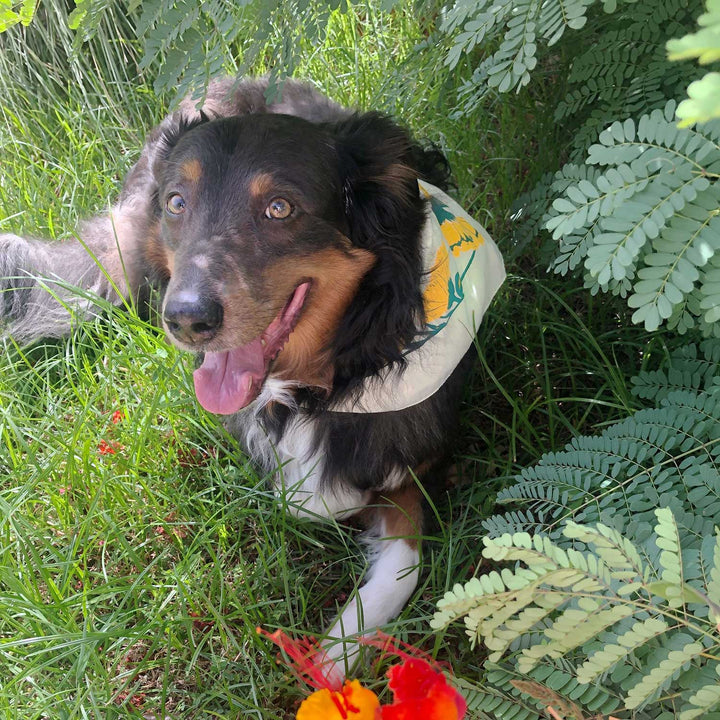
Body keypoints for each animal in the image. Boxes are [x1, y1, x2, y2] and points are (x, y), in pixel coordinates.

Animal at [0, 80, 506, 680]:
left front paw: (335, 657)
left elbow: (405, 563)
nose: (186, 320)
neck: (321, 386)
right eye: (178, 203)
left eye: (279, 208)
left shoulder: (410, 472)